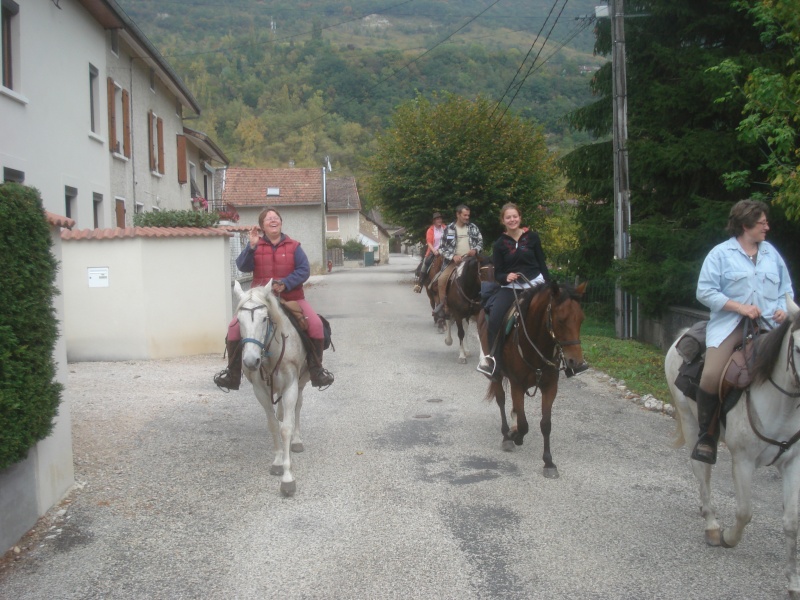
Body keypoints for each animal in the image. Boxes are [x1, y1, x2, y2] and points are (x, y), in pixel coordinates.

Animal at [233, 282, 310, 496]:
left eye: (264, 318)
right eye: (238, 321)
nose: (251, 361)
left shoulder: (292, 384)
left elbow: (286, 428)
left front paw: (288, 478)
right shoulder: (260, 390)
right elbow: (274, 425)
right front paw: (278, 462)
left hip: (301, 382)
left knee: (297, 408)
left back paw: (297, 441)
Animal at [476, 280, 588, 478]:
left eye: (581, 319)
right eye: (561, 320)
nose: (576, 362)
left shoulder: (550, 387)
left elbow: (545, 423)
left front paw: (549, 462)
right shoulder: (517, 385)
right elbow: (524, 424)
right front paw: (515, 436)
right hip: (497, 376)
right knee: (501, 401)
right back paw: (506, 435)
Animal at [664, 292, 800, 596]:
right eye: (797, 347)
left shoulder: (793, 463)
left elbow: (791, 521)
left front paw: (794, 580)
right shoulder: (743, 461)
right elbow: (744, 511)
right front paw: (727, 537)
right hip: (691, 421)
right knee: (701, 471)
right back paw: (711, 523)